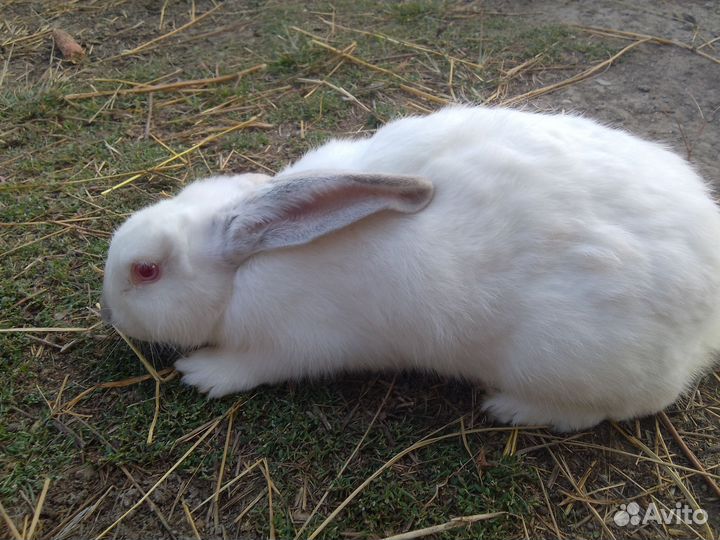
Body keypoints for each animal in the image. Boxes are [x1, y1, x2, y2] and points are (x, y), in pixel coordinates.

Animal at [101, 105, 720, 432]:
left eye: (146, 271)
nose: (107, 312)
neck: (244, 268)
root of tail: (704, 324)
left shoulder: (295, 343)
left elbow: (255, 366)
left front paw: (201, 372)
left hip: (567, 360)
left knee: (615, 408)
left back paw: (510, 406)